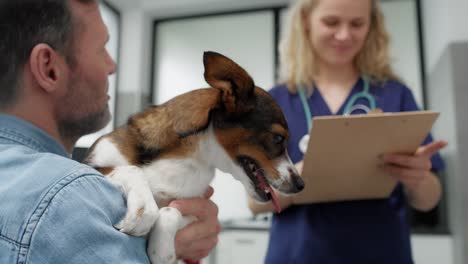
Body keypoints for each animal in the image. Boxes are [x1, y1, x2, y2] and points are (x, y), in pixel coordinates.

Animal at [85, 51, 304, 264]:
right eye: (278, 138)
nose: (301, 185)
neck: (191, 155)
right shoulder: (96, 162)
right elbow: (132, 170)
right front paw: (144, 210)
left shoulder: (196, 208)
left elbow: (170, 212)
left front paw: (162, 251)